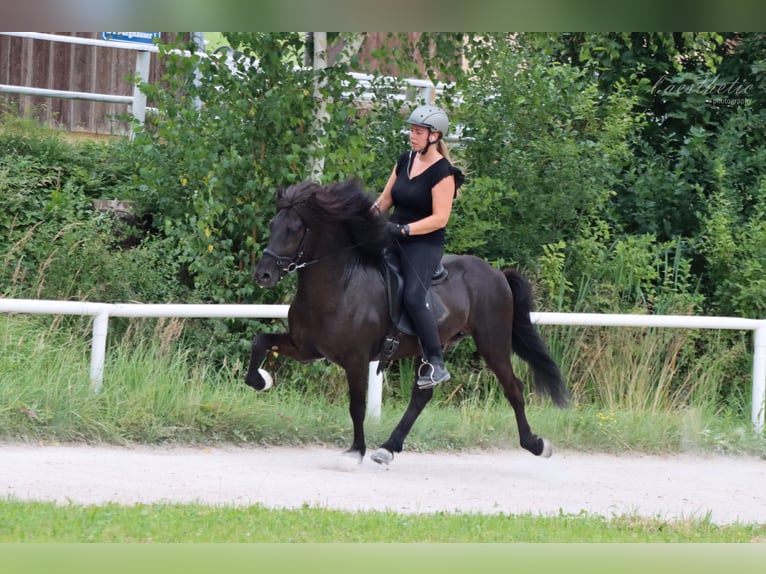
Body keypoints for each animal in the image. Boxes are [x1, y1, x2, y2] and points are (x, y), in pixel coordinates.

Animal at [245, 178, 569, 465]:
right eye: (272, 225)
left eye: (294, 229)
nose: (263, 275)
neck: (341, 285)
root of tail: (497, 273)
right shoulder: (305, 348)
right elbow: (259, 343)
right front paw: (263, 380)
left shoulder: (356, 359)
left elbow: (357, 406)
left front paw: (354, 452)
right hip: (432, 348)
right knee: (421, 396)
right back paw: (388, 448)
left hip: (493, 342)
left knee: (513, 388)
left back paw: (537, 445)